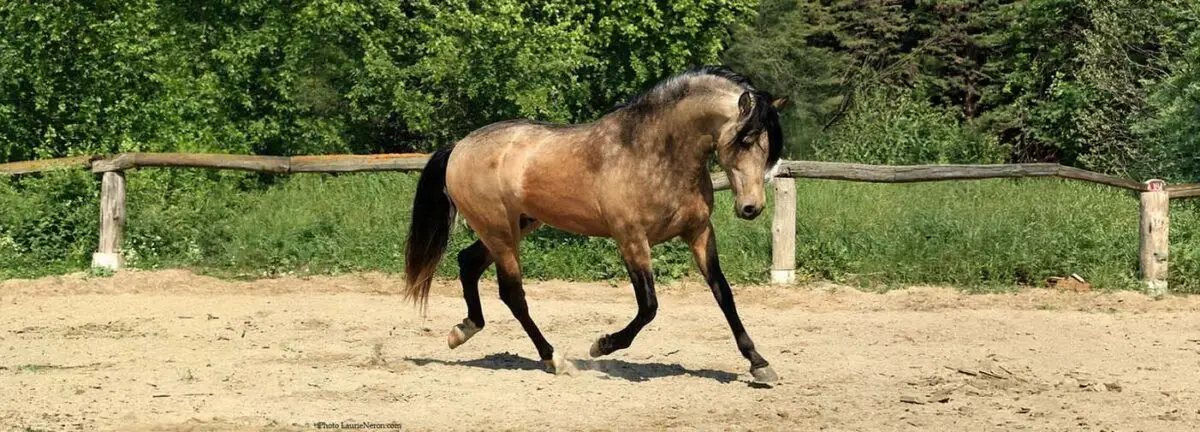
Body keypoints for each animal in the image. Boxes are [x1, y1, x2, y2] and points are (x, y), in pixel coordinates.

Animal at [402, 65, 787, 382]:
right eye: (746, 140)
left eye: (769, 144)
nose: (751, 208)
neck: (653, 153)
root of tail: (459, 147)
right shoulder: (631, 238)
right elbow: (648, 306)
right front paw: (602, 345)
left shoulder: (699, 233)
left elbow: (724, 294)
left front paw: (759, 363)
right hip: (499, 232)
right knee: (512, 294)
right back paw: (554, 359)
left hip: (515, 226)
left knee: (468, 263)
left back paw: (462, 331)